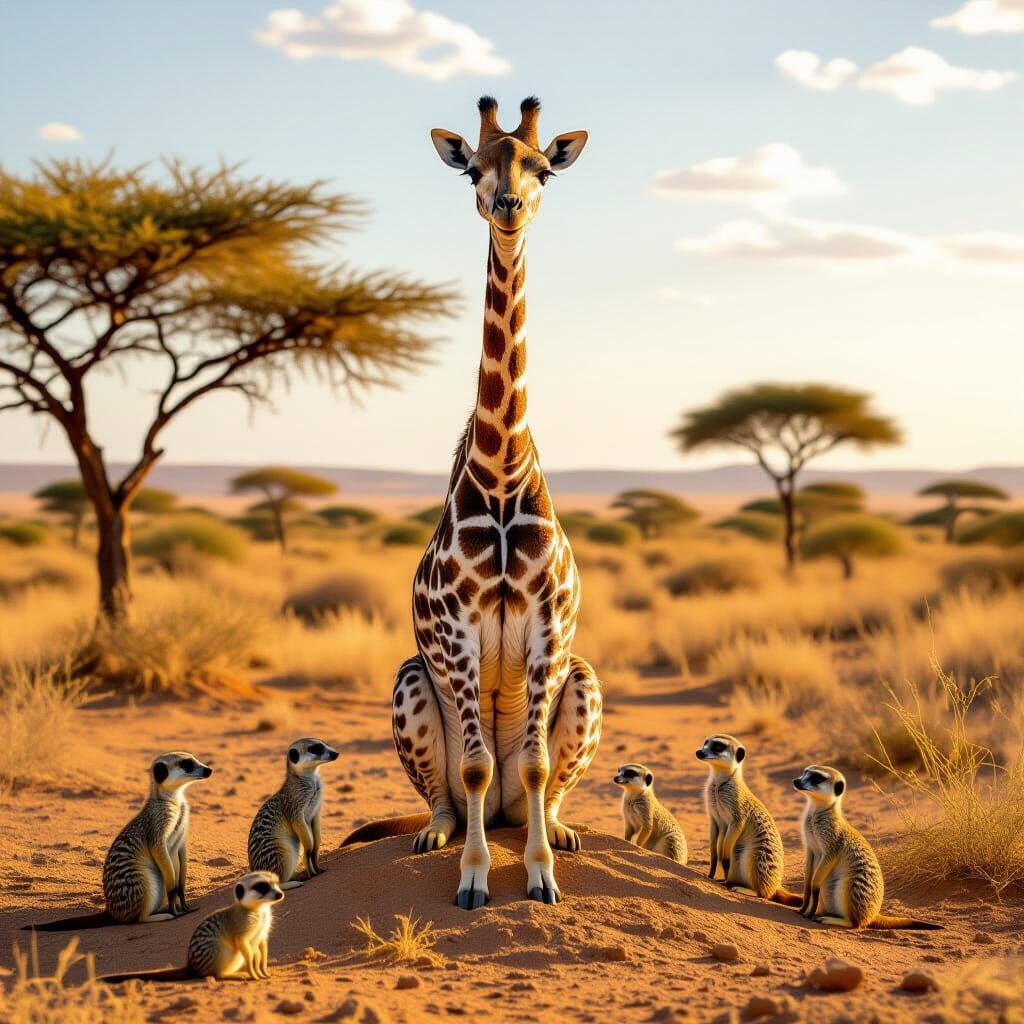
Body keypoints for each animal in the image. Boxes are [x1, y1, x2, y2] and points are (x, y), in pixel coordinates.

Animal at [391, 96, 601, 909]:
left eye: (544, 169)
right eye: (472, 170)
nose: (507, 206)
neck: (504, 474)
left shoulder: (548, 622)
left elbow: (538, 764)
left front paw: (540, 874)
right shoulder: (455, 628)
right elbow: (475, 765)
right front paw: (475, 879)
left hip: (585, 677)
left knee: (538, 790)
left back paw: (559, 831)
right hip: (410, 680)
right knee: (453, 791)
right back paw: (438, 834)